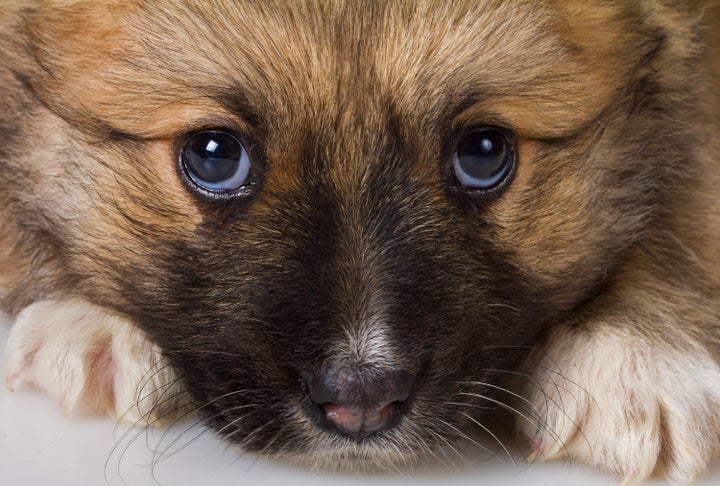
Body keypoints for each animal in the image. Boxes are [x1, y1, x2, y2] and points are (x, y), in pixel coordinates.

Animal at [0, 0, 716, 482]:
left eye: (484, 153)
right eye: (213, 156)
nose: (361, 402)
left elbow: (688, 177)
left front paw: (638, 350)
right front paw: (85, 320)